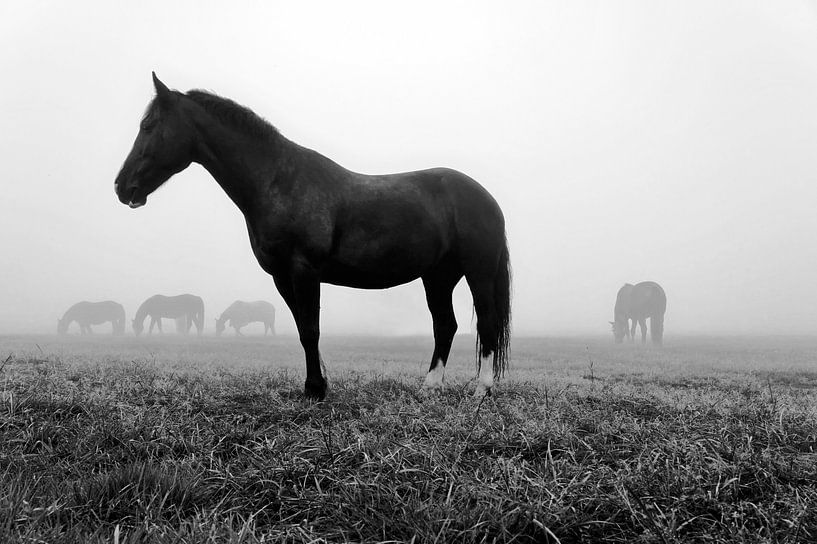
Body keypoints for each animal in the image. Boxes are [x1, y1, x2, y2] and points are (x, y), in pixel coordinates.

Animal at [115, 73, 510, 400]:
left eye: (148, 125)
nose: (122, 186)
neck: (278, 181)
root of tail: (485, 197)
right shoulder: (282, 276)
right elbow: (304, 329)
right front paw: (316, 384)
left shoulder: (304, 271)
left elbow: (310, 330)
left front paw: (316, 390)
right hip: (438, 277)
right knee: (445, 326)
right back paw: (429, 388)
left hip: (477, 272)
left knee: (487, 324)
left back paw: (481, 391)